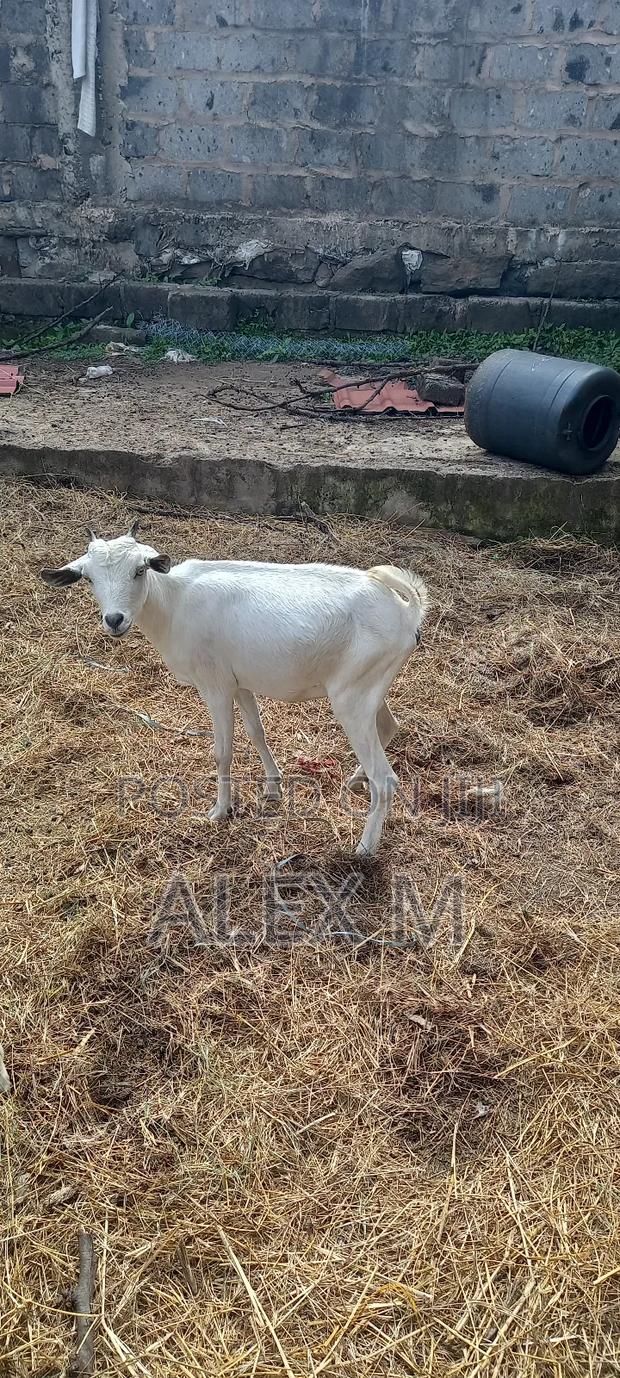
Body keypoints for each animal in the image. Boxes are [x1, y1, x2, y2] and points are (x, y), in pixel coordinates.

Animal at [41, 524, 428, 855]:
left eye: (139, 570)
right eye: (89, 577)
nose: (115, 620)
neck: (174, 603)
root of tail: (407, 611)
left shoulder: (214, 684)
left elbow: (222, 751)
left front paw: (218, 811)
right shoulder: (240, 682)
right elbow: (257, 732)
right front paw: (272, 787)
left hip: (351, 698)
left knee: (385, 779)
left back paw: (364, 847)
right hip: (368, 687)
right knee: (389, 726)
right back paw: (354, 780)